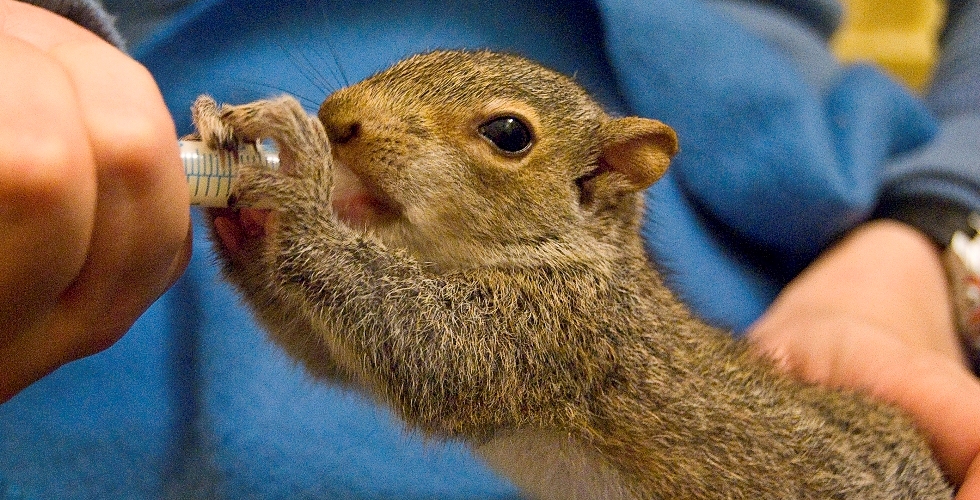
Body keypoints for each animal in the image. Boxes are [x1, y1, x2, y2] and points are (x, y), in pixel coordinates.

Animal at [195, 48, 952, 498]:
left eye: (508, 134)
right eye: (414, 56)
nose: (337, 119)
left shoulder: (555, 333)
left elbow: (424, 352)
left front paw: (298, 189)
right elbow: (333, 355)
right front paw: (244, 206)